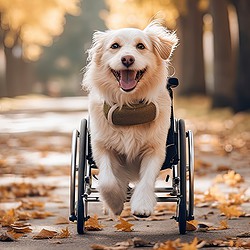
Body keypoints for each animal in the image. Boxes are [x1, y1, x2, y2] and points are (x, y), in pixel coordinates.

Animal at [83, 20, 178, 218]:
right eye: (115, 46)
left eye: (141, 46)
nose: (127, 59)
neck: (128, 107)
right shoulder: (101, 147)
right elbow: (107, 181)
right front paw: (114, 203)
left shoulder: (155, 149)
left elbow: (147, 178)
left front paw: (142, 205)